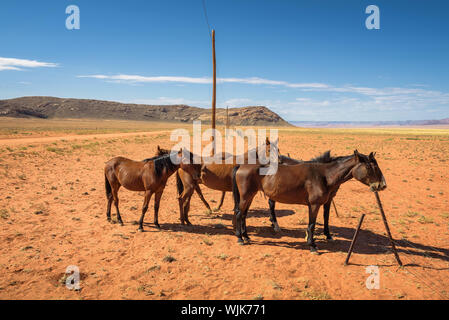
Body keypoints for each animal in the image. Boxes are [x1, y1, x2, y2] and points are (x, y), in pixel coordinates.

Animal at [231, 150, 384, 252]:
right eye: (369, 167)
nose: (382, 185)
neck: (324, 176)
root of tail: (241, 166)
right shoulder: (315, 205)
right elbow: (312, 224)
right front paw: (312, 245)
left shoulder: (322, 203)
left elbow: (323, 220)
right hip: (246, 196)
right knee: (239, 214)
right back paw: (240, 238)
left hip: (250, 196)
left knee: (244, 214)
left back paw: (246, 237)